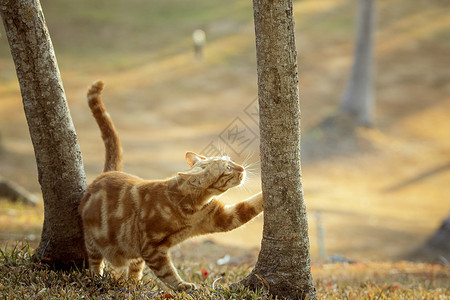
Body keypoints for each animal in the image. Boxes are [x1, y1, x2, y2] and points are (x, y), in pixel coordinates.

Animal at [79, 81, 264, 292]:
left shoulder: (223, 218)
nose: (242, 168)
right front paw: (185, 287)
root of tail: (106, 173)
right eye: (226, 168)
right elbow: (168, 273)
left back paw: (134, 285)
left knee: (134, 269)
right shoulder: (152, 248)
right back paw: (97, 279)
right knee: (95, 262)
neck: (192, 208)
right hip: (93, 242)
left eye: (230, 160)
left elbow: (251, 205)